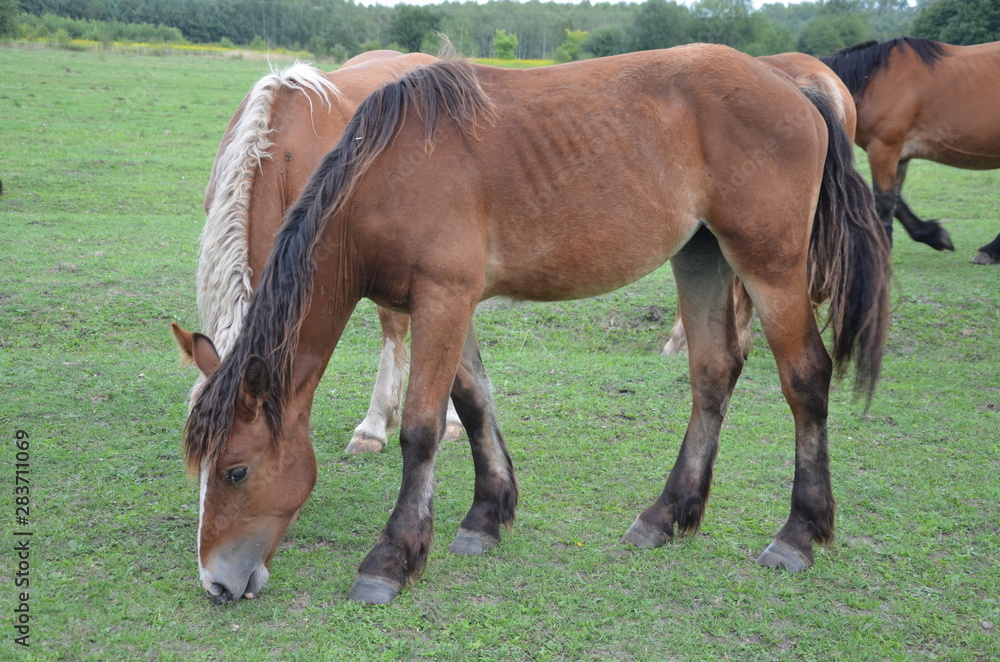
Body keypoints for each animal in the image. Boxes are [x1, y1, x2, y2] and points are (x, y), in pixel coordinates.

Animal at [821, 37, 1000, 264]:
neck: (871, 80)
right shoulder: (898, 155)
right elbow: (896, 202)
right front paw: (933, 234)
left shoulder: (882, 149)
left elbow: (883, 202)